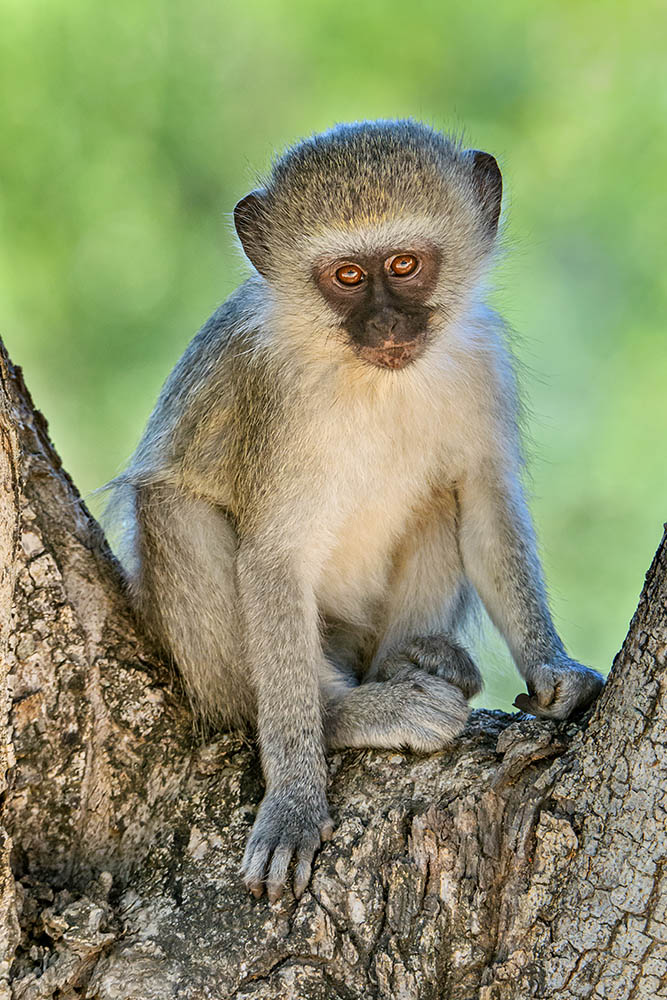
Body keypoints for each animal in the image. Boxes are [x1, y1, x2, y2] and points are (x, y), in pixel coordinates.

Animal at [111, 121, 604, 904]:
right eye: (346, 277)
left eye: (403, 266)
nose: (385, 322)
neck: (369, 379)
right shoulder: (277, 399)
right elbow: (273, 560)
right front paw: (294, 798)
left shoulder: (481, 358)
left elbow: (486, 502)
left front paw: (553, 670)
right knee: (173, 509)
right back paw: (346, 711)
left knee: (440, 498)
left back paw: (415, 660)